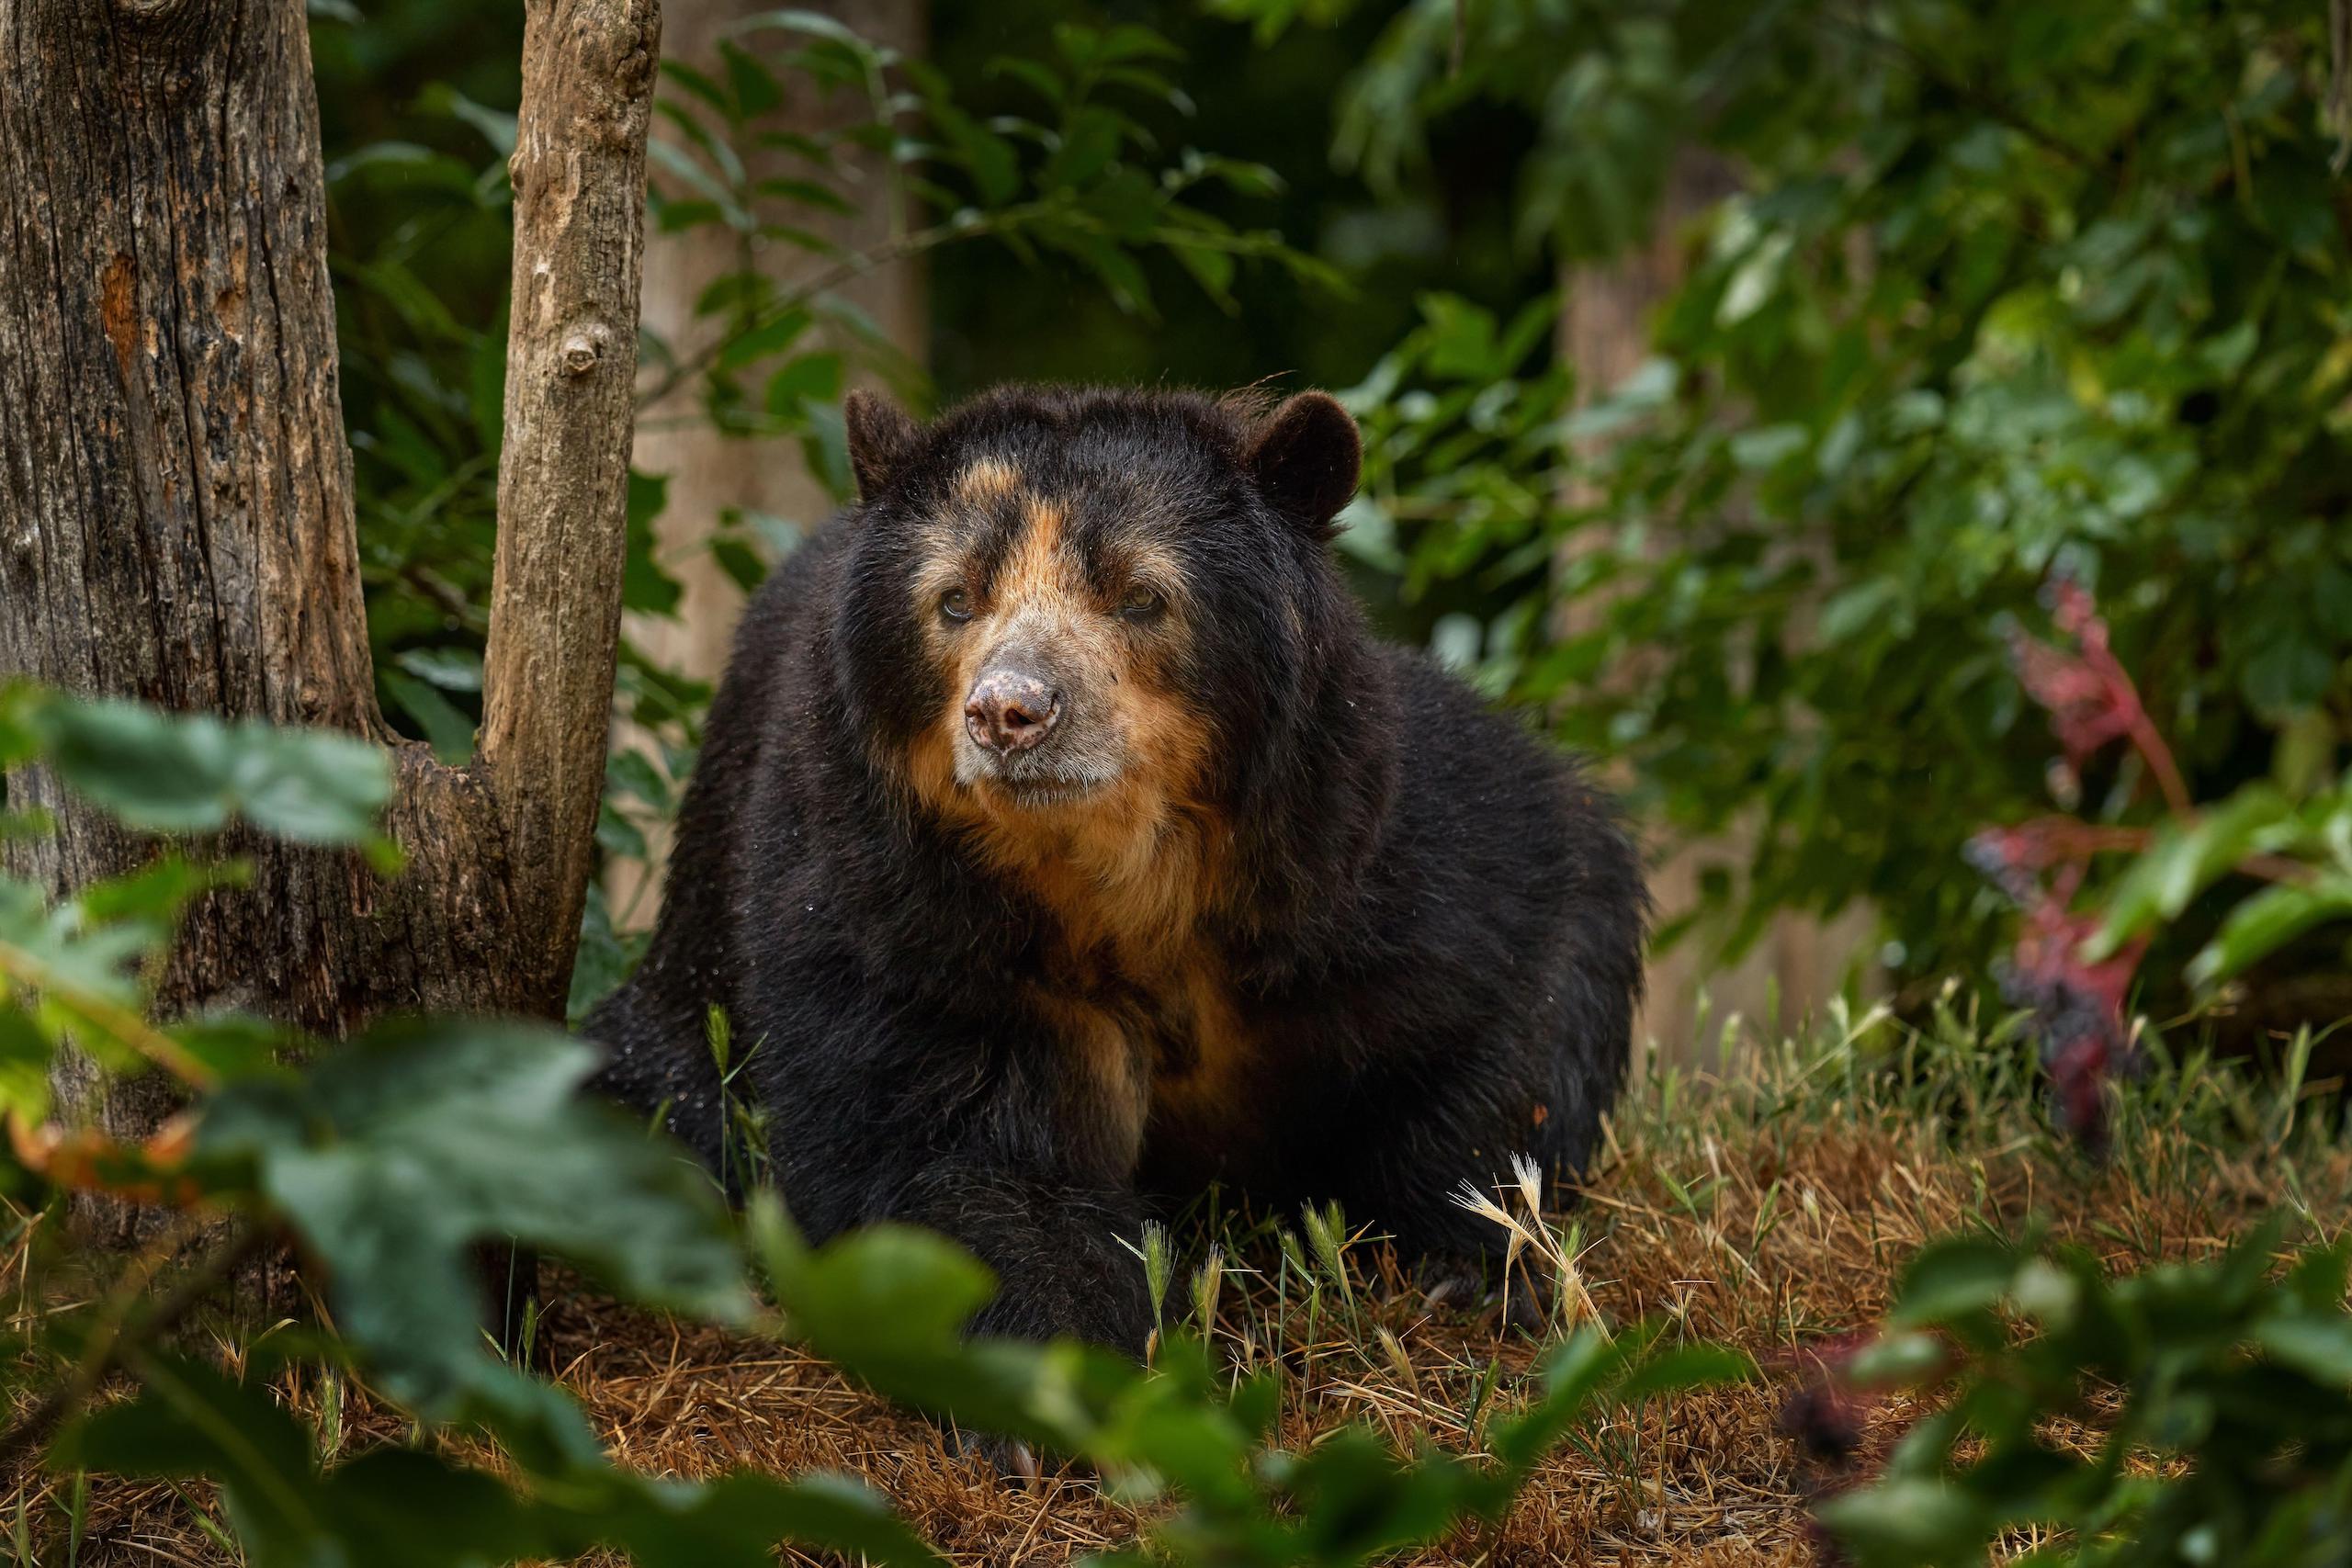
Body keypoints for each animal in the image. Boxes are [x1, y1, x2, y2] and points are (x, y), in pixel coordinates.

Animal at [588, 383, 1647, 1356]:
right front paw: (1090, 1346)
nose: (1008, 711)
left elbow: (1516, 961)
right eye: (956, 598)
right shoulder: (888, 910)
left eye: (1140, 594)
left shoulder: (1355, 852)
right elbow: (934, 1150)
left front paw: (1473, 1265)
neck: (1116, 874)